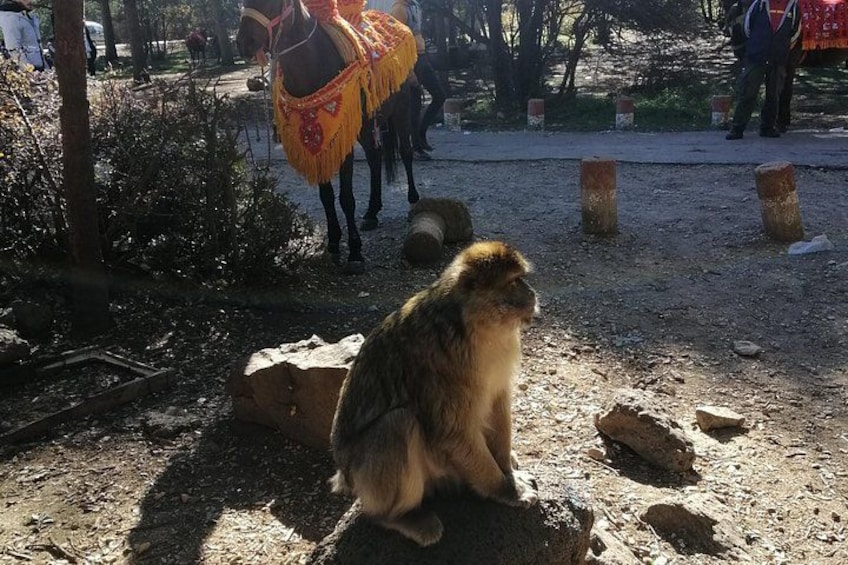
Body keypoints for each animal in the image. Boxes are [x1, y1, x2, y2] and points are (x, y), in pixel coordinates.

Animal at [329, 240, 539, 546]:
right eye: (514, 282)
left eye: (522, 278)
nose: (532, 293)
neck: (475, 325)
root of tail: (343, 475)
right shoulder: (441, 363)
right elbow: (453, 432)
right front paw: (505, 489)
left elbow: (498, 401)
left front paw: (509, 472)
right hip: (368, 480)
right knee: (398, 423)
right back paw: (397, 517)